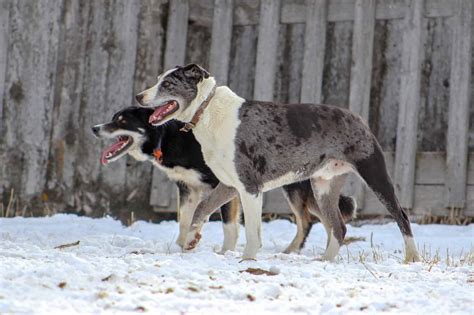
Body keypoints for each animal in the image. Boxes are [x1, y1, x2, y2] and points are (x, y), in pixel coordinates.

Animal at [92, 107, 358, 256]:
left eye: (122, 121)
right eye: (113, 118)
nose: (94, 128)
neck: (168, 137)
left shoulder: (228, 186)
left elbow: (229, 225)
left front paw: (225, 252)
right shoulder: (188, 188)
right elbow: (186, 220)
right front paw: (181, 247)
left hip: (296, 187)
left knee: (309, 220)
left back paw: (294, 251)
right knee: (327, 219)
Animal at [135, 63, 420, 262]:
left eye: (168, 83)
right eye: (159, 79)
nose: (139, 96)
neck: (207, 112)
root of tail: (358, 117)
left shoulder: (249, 187)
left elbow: (251, 229)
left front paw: (247, 259)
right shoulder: (228, 184)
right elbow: (202, 209)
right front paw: (192, 240)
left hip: (375, 174)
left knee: (402, 216)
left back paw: (412, 257)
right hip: (323, 187)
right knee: (338, 227)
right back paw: (325, 261)